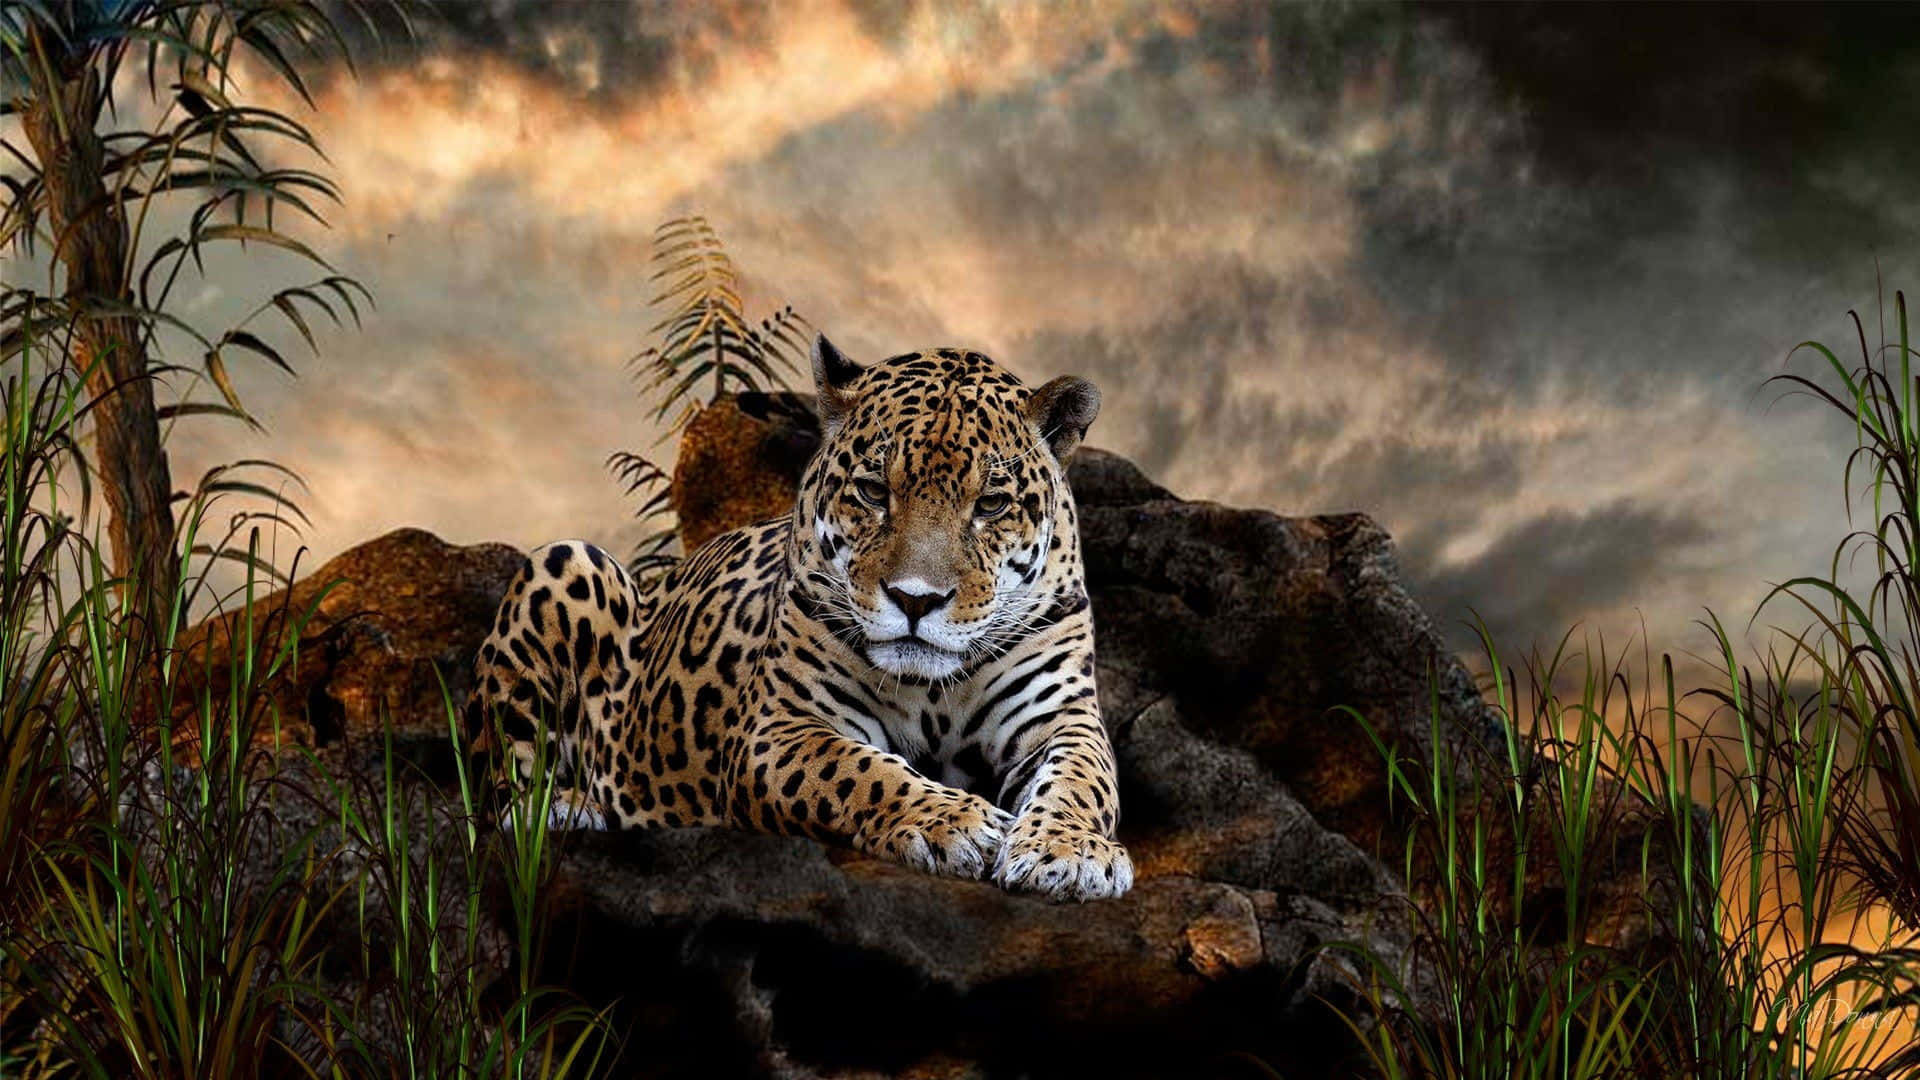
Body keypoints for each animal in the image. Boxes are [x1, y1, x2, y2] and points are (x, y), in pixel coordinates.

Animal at [463, 335, 1131, 902]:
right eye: (873, 492)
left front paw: (1070, 852)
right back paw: (569, 807)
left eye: (991, 504)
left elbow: (1082, 780)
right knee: (498, 795)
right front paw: (956, 822)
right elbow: (860, 771)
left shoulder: (1061, 717)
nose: (915, 600)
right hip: (565, 561)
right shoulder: (780, 730)